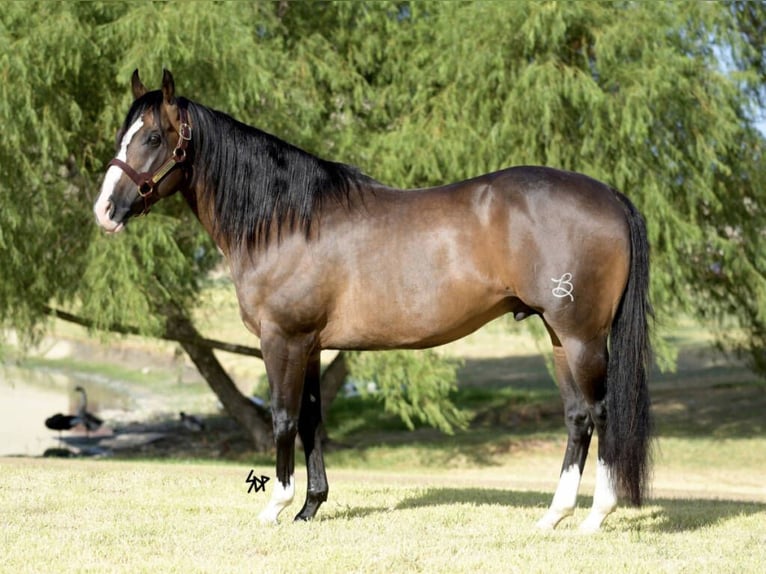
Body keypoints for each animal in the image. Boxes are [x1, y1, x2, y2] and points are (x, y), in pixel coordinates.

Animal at [94, 70, 652, 532]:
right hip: (559, 336)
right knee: (578, 417)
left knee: (601, 413)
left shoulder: (283, 340)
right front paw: (309, 507)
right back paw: (553, 515)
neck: (287, 221)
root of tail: (610, 196)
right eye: (124, 135)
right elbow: (312, 420)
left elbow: (282, 417)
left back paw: (595, 517)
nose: (105, 211)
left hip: (581, 337)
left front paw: (275, 506)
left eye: (152, 137)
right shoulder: (311, 345)